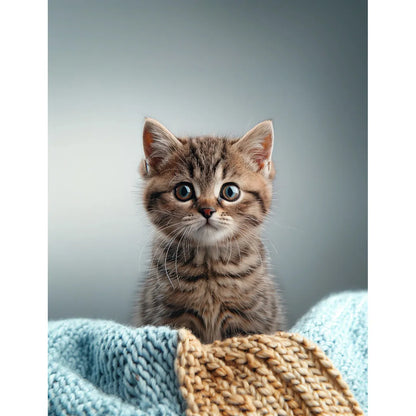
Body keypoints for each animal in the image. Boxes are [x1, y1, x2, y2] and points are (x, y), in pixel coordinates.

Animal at [133, 118, 286, 344]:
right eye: (183, 191)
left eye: (230, 191)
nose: (207, 210)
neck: (208, 266)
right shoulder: (166, 316)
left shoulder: (254, 319)